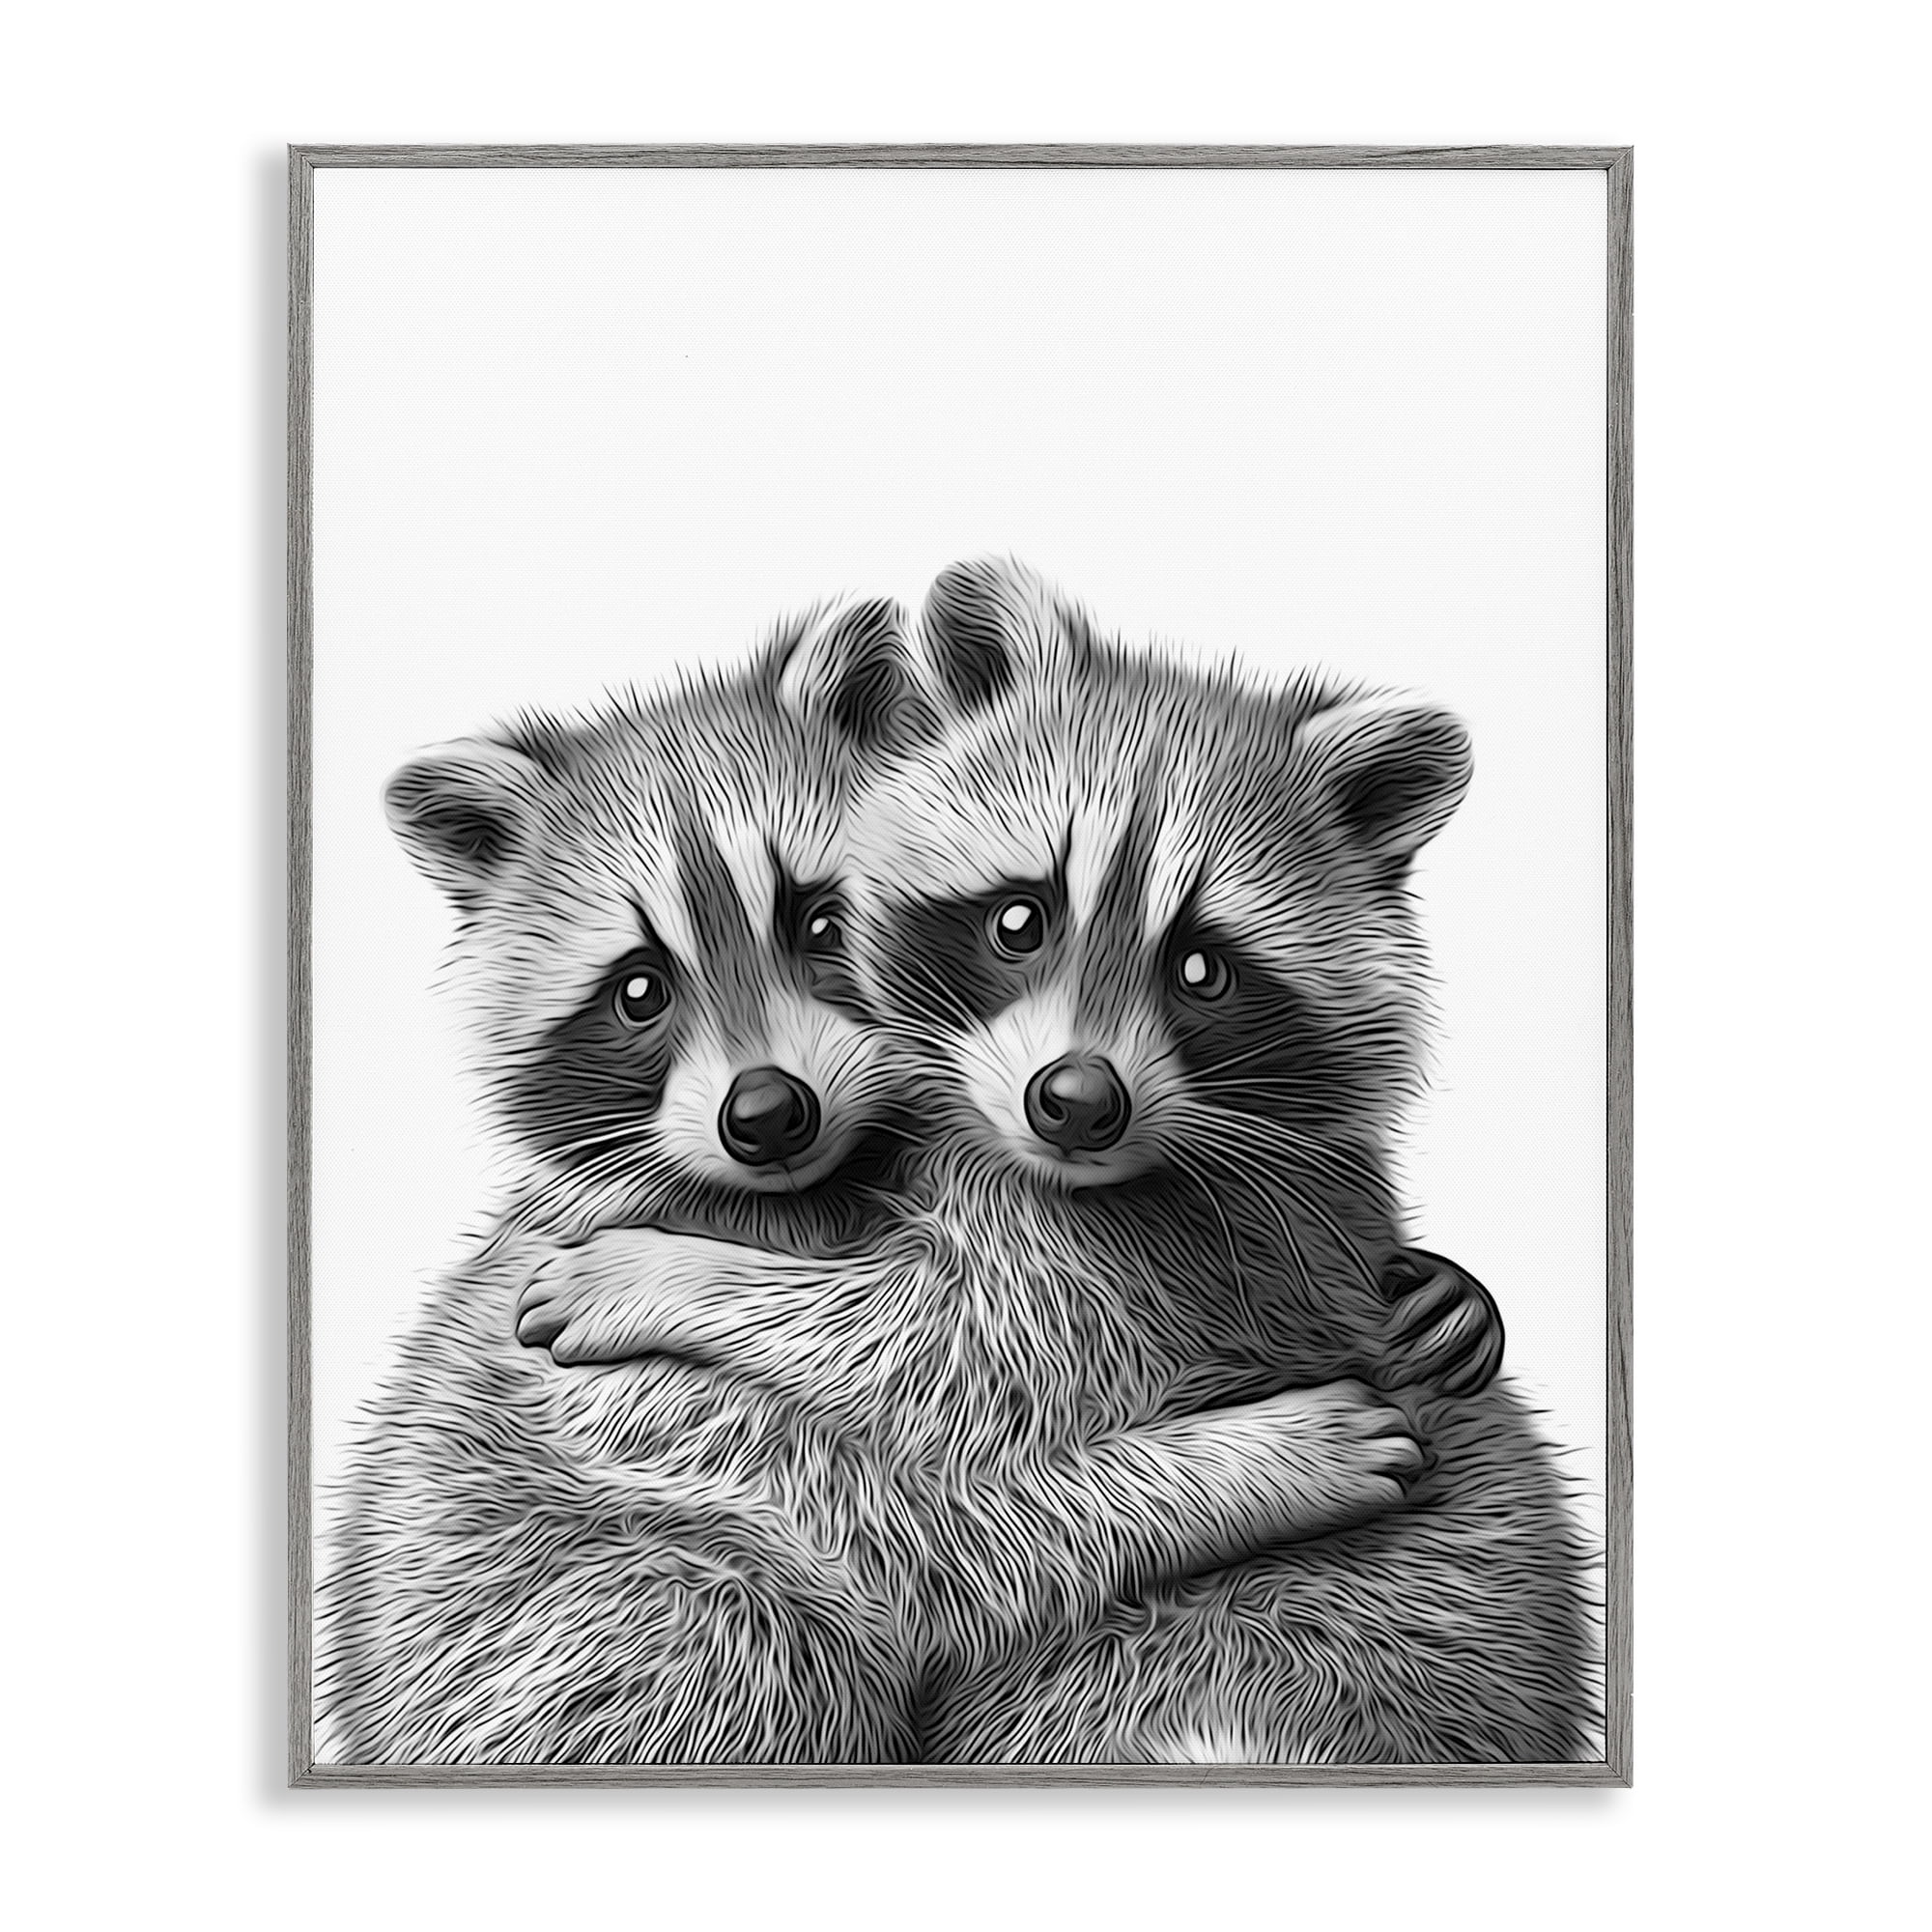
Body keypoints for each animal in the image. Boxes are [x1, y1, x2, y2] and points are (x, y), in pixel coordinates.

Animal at [318, 594, 1429, 1767]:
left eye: (818, 924)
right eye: (638, 990)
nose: (767, 1114)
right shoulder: (626, 1409)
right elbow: (922, 1538)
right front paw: (1246, 1466)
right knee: (732, 1623)